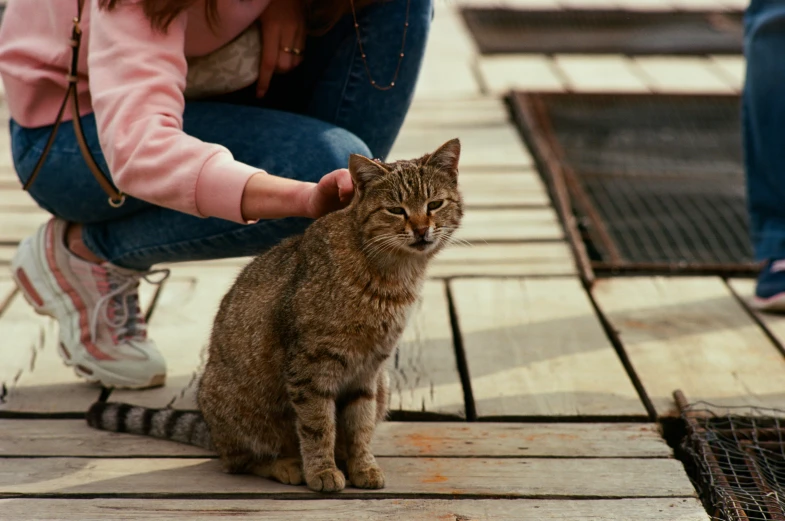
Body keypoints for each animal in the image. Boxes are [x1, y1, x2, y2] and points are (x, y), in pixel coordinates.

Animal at [88, 138, 462, 492]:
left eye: (434, 204)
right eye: (396, 210)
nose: (421, 229)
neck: (392, 276)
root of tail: (210, 428)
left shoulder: (367, 373)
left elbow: (360, 426)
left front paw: (362, 466)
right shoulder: (310, 368)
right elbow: (317, 427)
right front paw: (322, 471)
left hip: (382, 385)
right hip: (240, 409)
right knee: (238, 460)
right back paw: (285, 465)